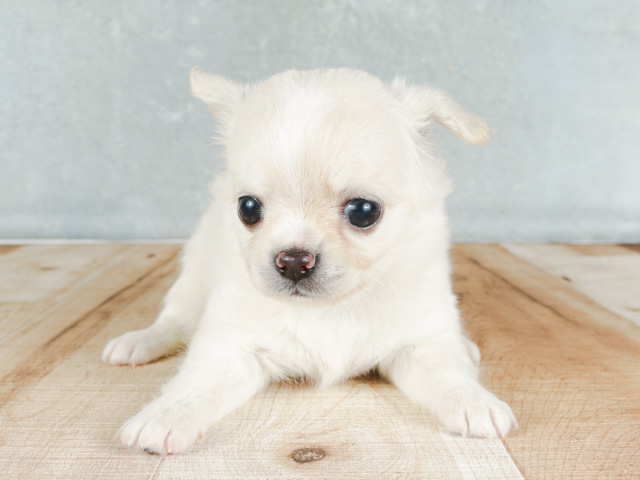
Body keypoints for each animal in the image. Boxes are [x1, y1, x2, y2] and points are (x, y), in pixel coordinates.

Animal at [102, 66, 516, 454]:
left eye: (364, 211)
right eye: (248, 208)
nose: (293, 260)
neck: (330, 310)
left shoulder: (422, 343)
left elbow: (448, 373)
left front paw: (474, 401)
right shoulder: (231, 348)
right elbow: (196, 383)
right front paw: (165, 416)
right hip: (194, 271)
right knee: (174, 319)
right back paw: (139, 342)